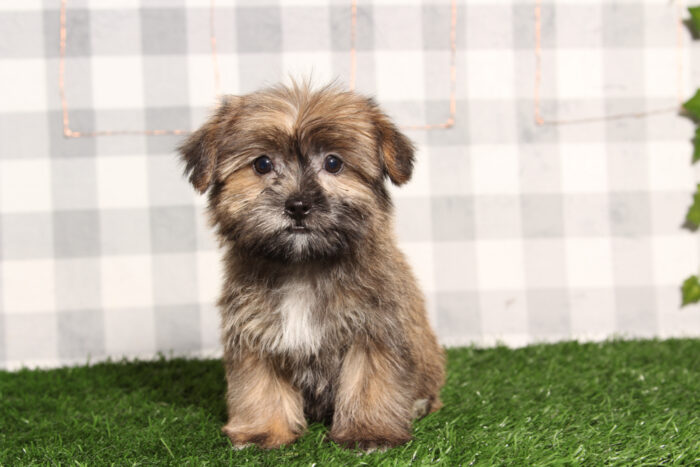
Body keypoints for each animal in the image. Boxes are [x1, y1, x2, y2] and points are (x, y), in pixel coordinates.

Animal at [178, 82, 446, 452]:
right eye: (262, 164)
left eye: (333, 162)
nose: (298, 205)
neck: (303, 267)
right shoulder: (254, 333)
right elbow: (259, 384)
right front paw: (263, 430)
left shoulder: (374, 330)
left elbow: (369, 383)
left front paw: (368, 432)